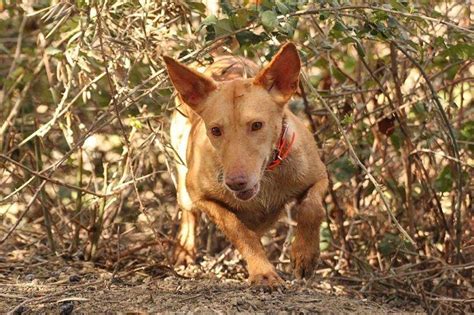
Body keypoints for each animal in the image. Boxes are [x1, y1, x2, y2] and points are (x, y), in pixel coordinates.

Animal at [163, 43, 326, 288]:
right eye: (215, 130)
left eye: (257, 125)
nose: (235, 183)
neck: (268, 176)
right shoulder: (201, 196)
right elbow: (239, 230)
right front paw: (263, 272)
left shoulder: (319, 176)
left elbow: (312, 207)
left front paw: (305, 254)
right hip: (183, 182)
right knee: (189, 214)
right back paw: (185, 250)